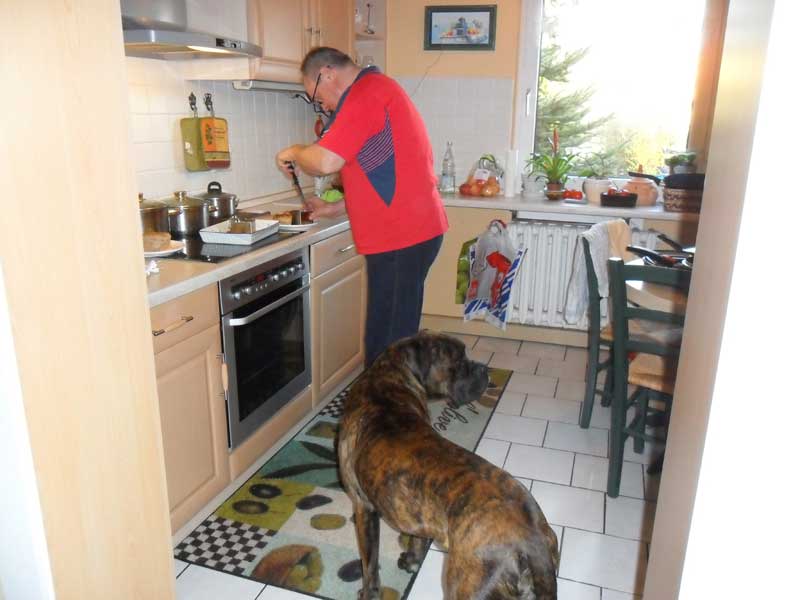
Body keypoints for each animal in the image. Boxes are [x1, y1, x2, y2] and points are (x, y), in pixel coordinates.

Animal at [337, 331, 559, 599]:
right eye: (459, 361)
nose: (484, 368)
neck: (387, 381)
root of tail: (533, 543)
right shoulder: (416, 512)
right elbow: (417, 536)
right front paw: (413, 560)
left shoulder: (363, 507)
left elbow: (369, 563)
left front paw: (369, 592)